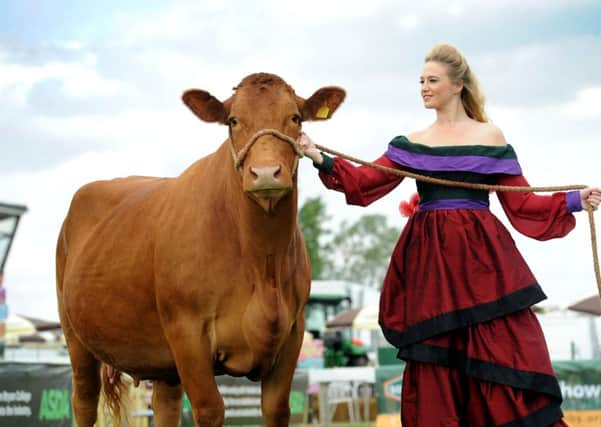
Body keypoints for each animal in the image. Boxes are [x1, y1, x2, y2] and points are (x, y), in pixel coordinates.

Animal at [56, 74, 346, 427]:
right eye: (233, 120)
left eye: (295, 118)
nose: (265, 173)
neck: (262, 266)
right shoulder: (187, 333)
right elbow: (210, 409)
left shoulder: (292, 334)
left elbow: (277, 409)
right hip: (76, 339)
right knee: (84, 400)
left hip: (161, 361)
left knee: (165, 405)